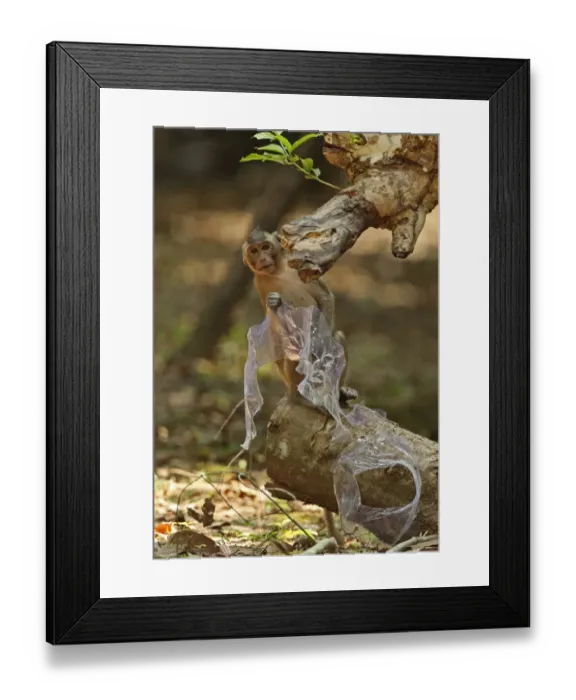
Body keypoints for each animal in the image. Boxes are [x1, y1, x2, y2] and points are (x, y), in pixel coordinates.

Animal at [242, 227, 357, 546]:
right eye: (253, 251)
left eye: (265, 247)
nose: (262, 258)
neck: (279, 271)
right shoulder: (259, 283)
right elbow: (276, 323)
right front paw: (277, 307)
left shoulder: (303, 270)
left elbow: (325, 299)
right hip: (290, 379)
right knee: (294, 354)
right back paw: (306, 398)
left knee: (337, 341)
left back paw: (337, 392)